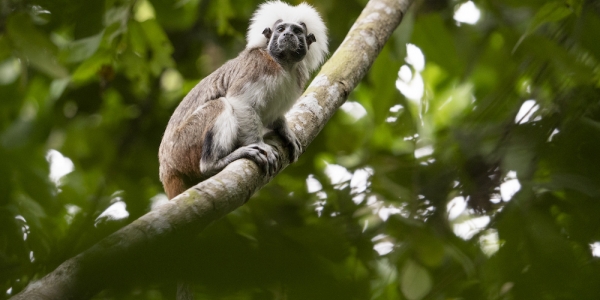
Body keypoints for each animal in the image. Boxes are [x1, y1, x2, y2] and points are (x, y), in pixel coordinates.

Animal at [159, 2, 328, 200]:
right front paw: (260, 145)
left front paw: (284, 130)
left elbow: (274, 115)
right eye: (280, 29)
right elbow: (240, 102)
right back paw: (214, 163)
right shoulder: (259, 67)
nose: (287, 35)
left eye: (296, 31)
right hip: (183, 146)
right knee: (220, 104)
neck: (284, 65)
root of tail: (166, 167)